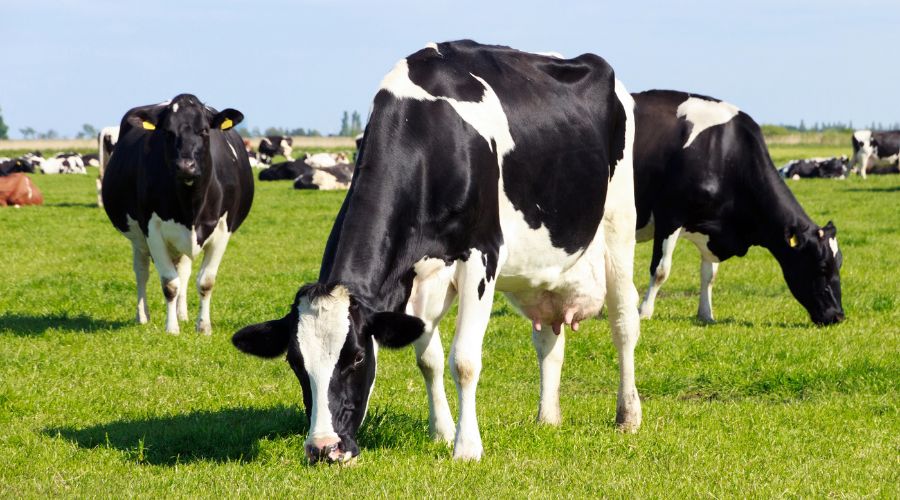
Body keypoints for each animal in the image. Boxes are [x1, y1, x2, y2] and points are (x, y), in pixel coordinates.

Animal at [102, 94, 254, 334]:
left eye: (204, 131)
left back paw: (182, 314)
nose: (185, 166)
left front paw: (203, 327)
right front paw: (172, 328)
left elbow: (205, 281)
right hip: (138, 238)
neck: (191, 204)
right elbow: (169, 284)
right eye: (167, 132)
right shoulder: (152, 230)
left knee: (183, 271)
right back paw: (143, 316)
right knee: (142, 271)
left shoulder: (223, 230)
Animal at [232, 40, 642, 464]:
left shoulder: (482, 254)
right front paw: (441, 433)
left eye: (357, 357)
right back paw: (547, 418)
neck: (427, 134)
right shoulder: (414, 275)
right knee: (548, 339)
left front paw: (467, 447)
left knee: (624, 322)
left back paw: (627, 416)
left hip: (619, 222)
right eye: (295, 362)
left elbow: (464, 359)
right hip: (543, 272)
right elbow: (427, 359)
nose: (324, 448)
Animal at [631, 89, 844, 326]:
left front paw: (706, 315)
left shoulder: (711, 228)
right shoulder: (670, 215)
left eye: (839, 264)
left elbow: (709, 274)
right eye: (821, 266)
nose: (838, 315)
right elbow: (661, 269)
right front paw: (644, 312)